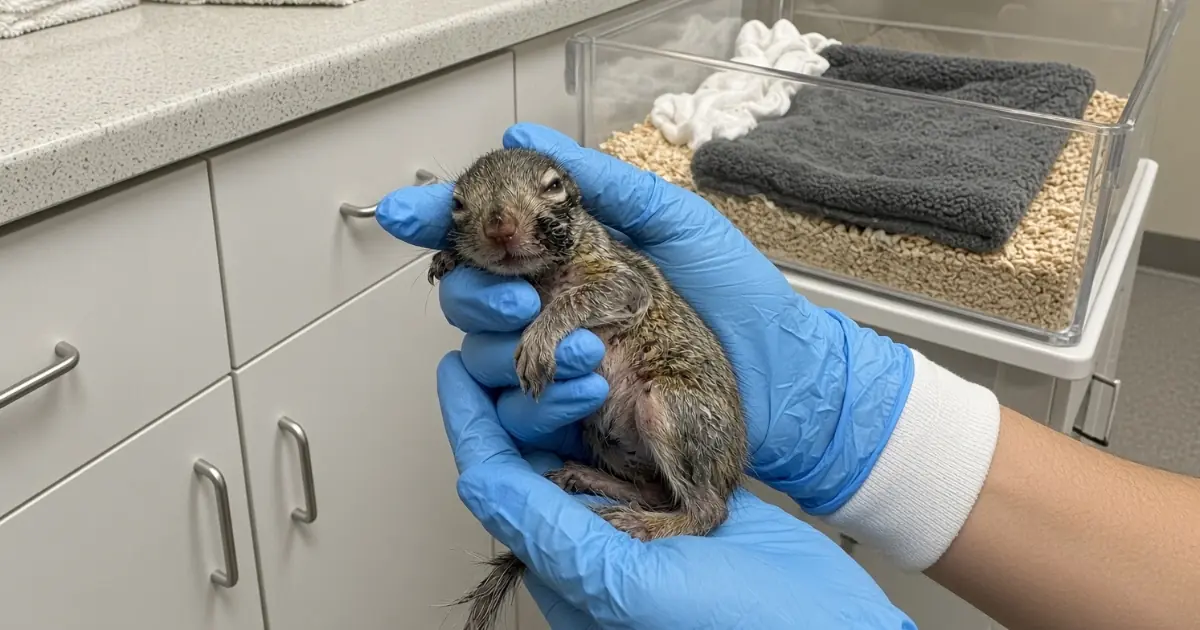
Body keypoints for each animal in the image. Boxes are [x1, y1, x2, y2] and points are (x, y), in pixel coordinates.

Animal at [427, 147, 748, 630]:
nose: (500, 226)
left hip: (669, 409)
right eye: (459, 204)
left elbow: (579, 298)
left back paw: (648, 525)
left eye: (554, 186)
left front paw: (542, 335)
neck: (542, 276)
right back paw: (590, 478)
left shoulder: (624, 280)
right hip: (604, 435)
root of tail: (731, 471)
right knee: (657, 492)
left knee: (708, 509)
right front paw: (450, 257)